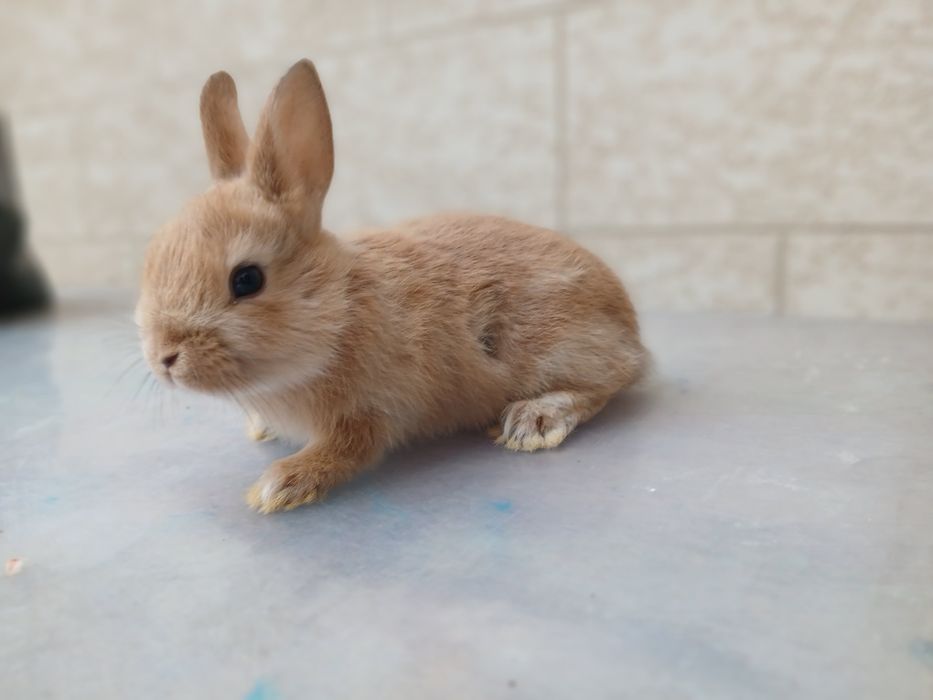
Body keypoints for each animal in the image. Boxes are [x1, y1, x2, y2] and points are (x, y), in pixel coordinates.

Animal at [136, 59, 649, 514]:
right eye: (154, 254)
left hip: (565, 346)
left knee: (609, 382)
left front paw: (279, 486)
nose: (164, 358)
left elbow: (349, 449)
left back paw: (533, 422)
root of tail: (630, 326)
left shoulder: (371, 410)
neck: (339, 313)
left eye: (247, 280)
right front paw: (263, 433)